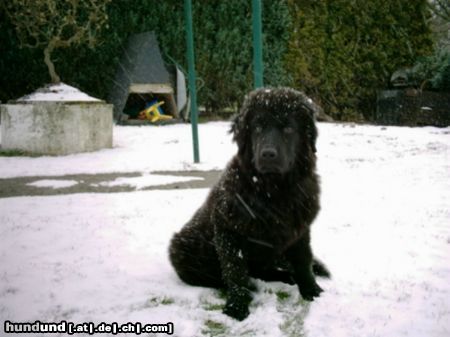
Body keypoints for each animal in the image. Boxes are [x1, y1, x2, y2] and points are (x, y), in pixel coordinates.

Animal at [168, 86, 326, 318]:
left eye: (288, 128)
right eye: (258, 127)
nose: (268, 154)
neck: (273, 191)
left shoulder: (299, 229)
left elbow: (303, 260)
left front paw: (311, 289)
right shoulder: (228, 230)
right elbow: (235, 270)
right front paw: (237, 305)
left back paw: (285, 276)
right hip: (181, 249)